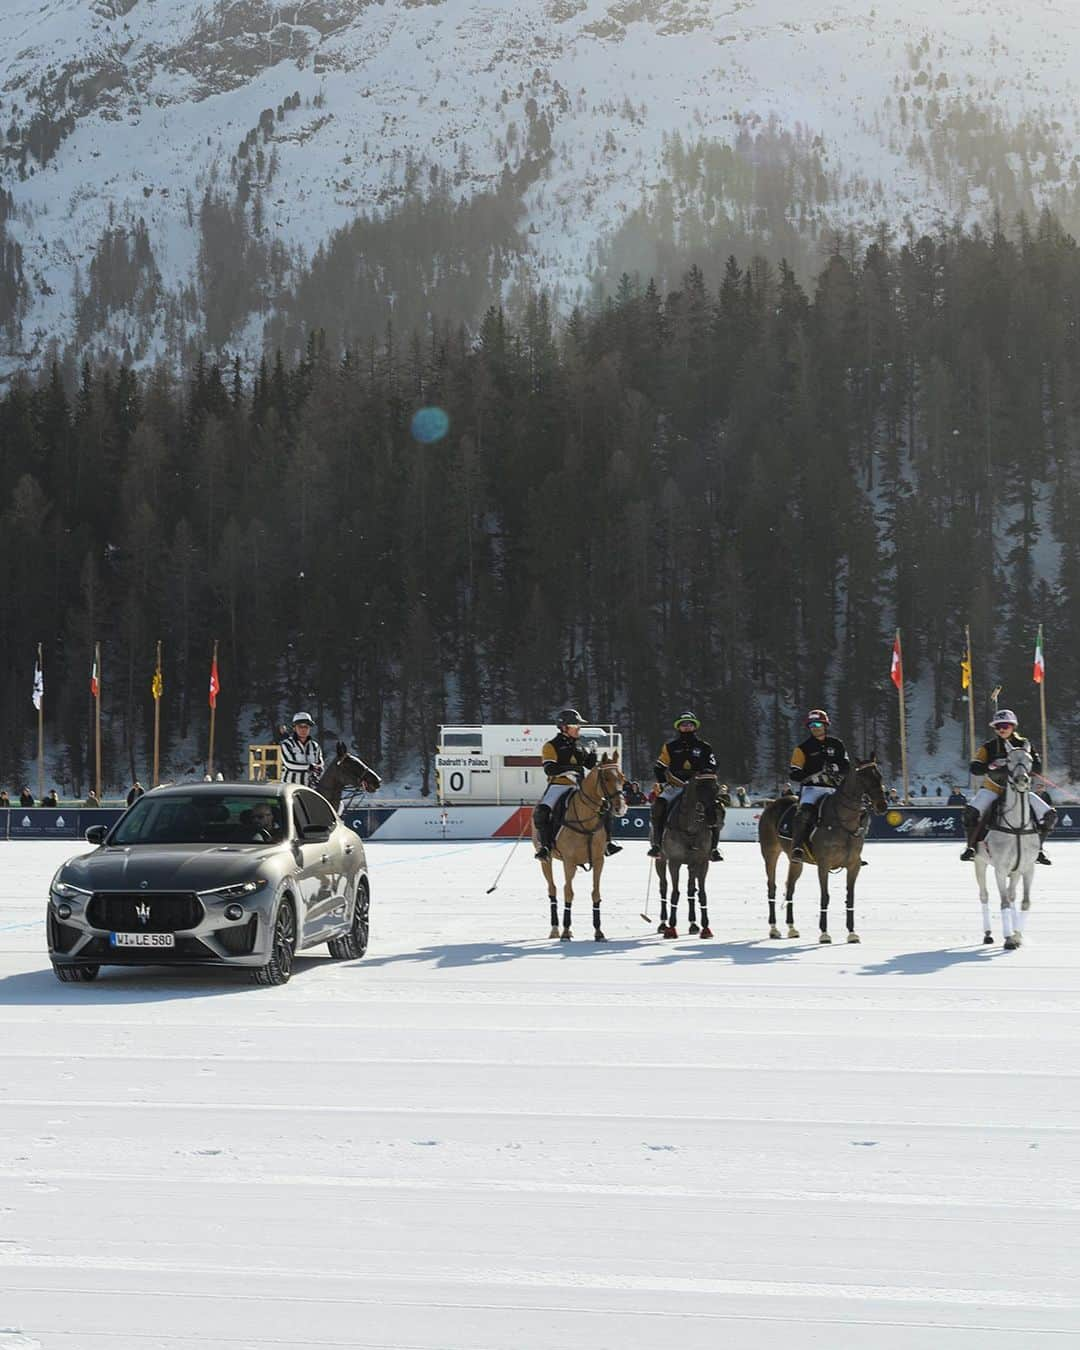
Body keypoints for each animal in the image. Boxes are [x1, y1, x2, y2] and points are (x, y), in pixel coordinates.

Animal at [534, 756, 629, 945]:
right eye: (606, 777)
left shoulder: (599, 861)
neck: (586, 821)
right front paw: (565, 931)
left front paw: (599, 931)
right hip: (546, 860)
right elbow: (568, 892)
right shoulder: (569, 862)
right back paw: (555, 929)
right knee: (552, 889)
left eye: (622, 777)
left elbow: (595, 893)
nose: (620, 807)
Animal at [650, 772, 723, 939]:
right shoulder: (674, 862)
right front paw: (671, 928)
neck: (690, 828)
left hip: (690, 865)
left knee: (691, 890)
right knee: (663, 887)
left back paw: (693, 924)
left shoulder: (701, 862)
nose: (712, 818)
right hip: (660, 860)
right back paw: (663, 924)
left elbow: (700, 893)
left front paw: (705, 927)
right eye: (699, 789)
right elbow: (674, 893)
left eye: (716, 788)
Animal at [761, 766, 885, 945]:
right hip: (770, 852)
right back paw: (774, 929)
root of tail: (771, 804)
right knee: (772, 887)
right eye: (865, 778)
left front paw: (852, 933)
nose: (882, 805)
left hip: (795, 861)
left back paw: (792, 928)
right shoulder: (824, 864)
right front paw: (824, 933)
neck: (843, 822)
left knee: (790, 888)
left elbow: (850, 897)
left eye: (879, 776)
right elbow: (825, 897)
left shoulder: (854, 865)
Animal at [972, 739, 1042, 950]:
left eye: (1029, 759)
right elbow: (1002, 902)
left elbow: (1024, 902)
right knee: (984, 895)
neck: (1017, 825)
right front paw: (1009, 938)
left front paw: (1017, 936)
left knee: (1012, 896)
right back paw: (988, 934)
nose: (1021, 780)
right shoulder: (1000, 869)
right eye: (1009, 760)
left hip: (1015, 871)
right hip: (979, 862)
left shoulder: (1027, 868)